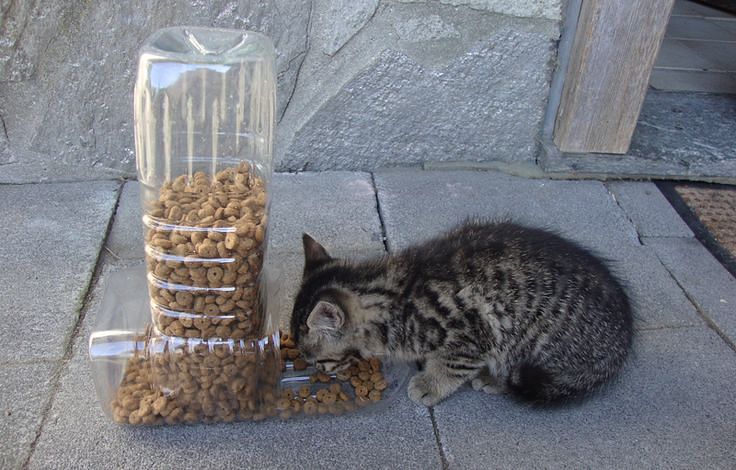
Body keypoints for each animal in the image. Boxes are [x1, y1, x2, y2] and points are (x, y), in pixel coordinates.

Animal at [288, 218, 632, 406]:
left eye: (320, 361)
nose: (320, 372)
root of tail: (623, 343)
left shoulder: (473, 333)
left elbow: (451, 365)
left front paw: (430, 384)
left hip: (529, 341)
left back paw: (494, 379)